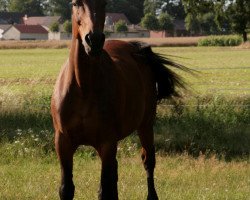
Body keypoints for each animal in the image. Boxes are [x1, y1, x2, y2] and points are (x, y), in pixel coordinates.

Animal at [50, 0, 188, 199]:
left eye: (104, 3)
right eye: (76, 3)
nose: (94, 40)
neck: (82, 88)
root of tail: (136, 50)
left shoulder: (107, 142)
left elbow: (104, 190)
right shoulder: (63, 143)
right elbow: (67, 189)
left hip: (146, 125)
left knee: (148, 161)